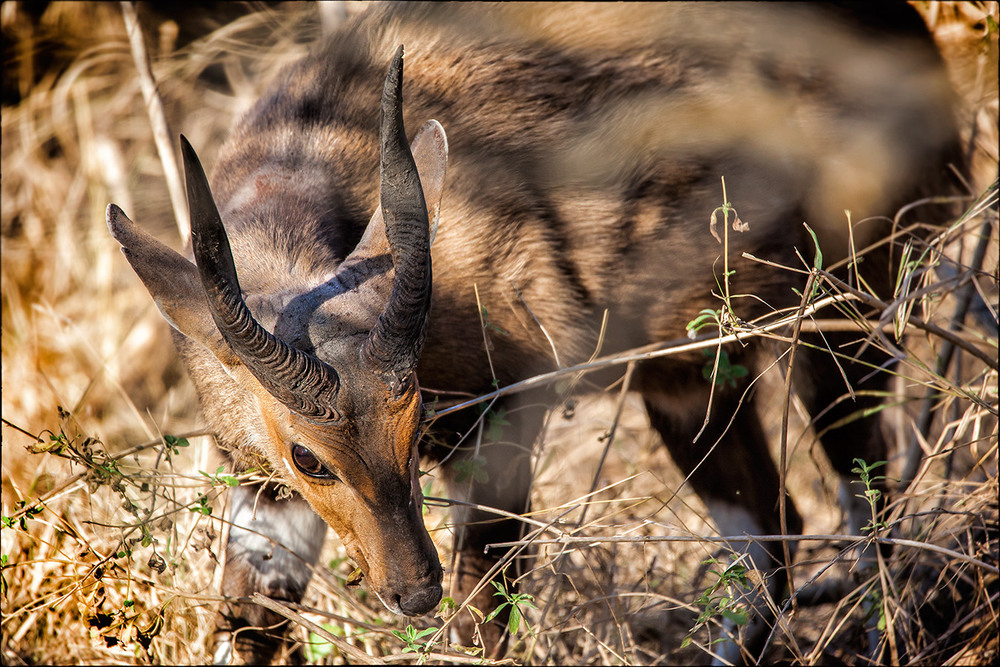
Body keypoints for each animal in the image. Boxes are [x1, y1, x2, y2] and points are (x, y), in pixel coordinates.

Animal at [105, 3, 956, 664]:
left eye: (417, 417)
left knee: (869, 497)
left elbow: (486, 616)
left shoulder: (503, 412)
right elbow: (249, 621)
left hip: (845, 316)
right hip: (690, 378)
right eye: (309, 454)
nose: (412, 589)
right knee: (774, 534)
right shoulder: (261, 483)